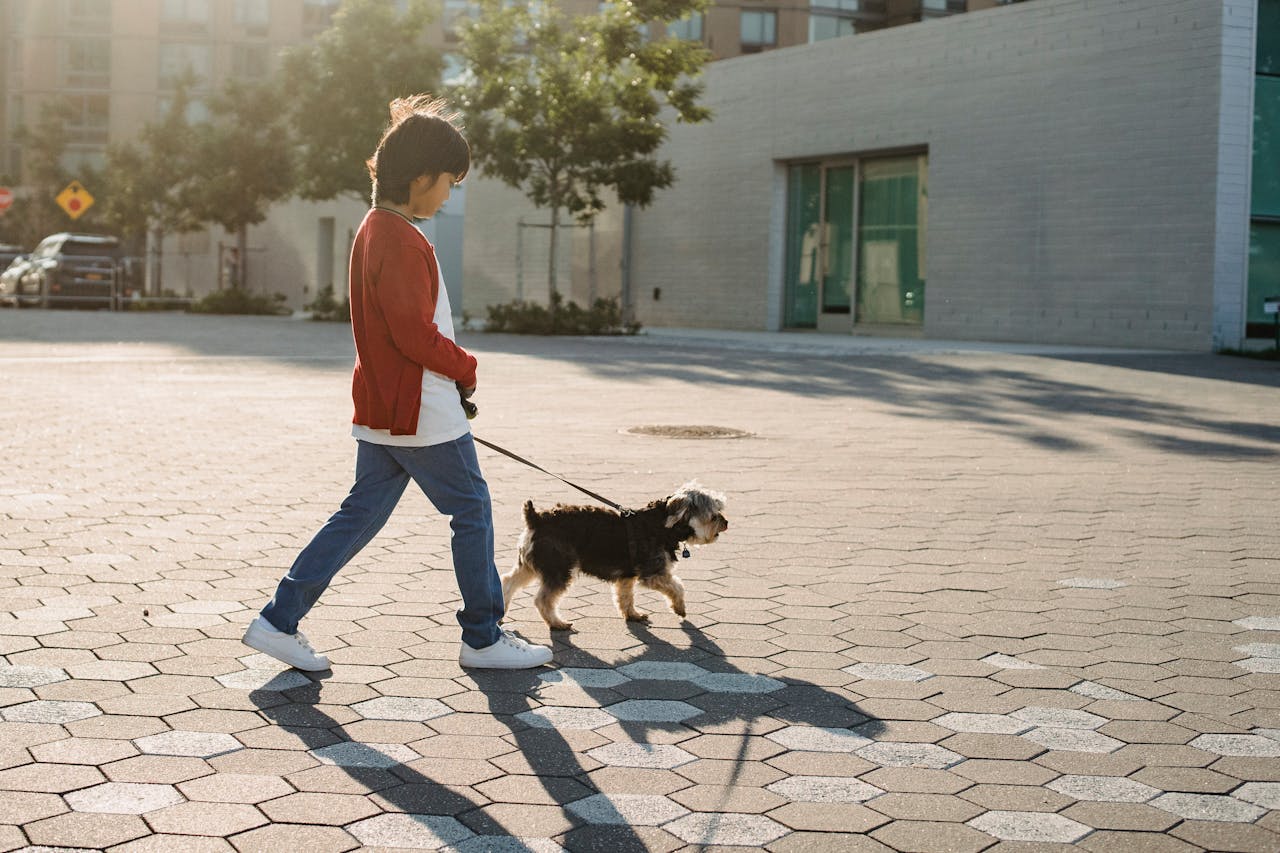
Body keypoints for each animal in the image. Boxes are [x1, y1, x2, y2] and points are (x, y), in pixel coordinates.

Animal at [501, 481, 732, 627]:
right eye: (713, 515)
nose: (726, 522)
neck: (662, 525)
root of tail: (536, 519)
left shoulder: (627, 576)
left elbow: (625, 597)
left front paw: (633, 615)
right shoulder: (654, 573)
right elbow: (677, 586)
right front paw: (679, 607)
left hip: (531, 564)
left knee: (508, 581)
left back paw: (501, 612)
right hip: (559, 567)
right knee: (543, 600)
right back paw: (557, 623)